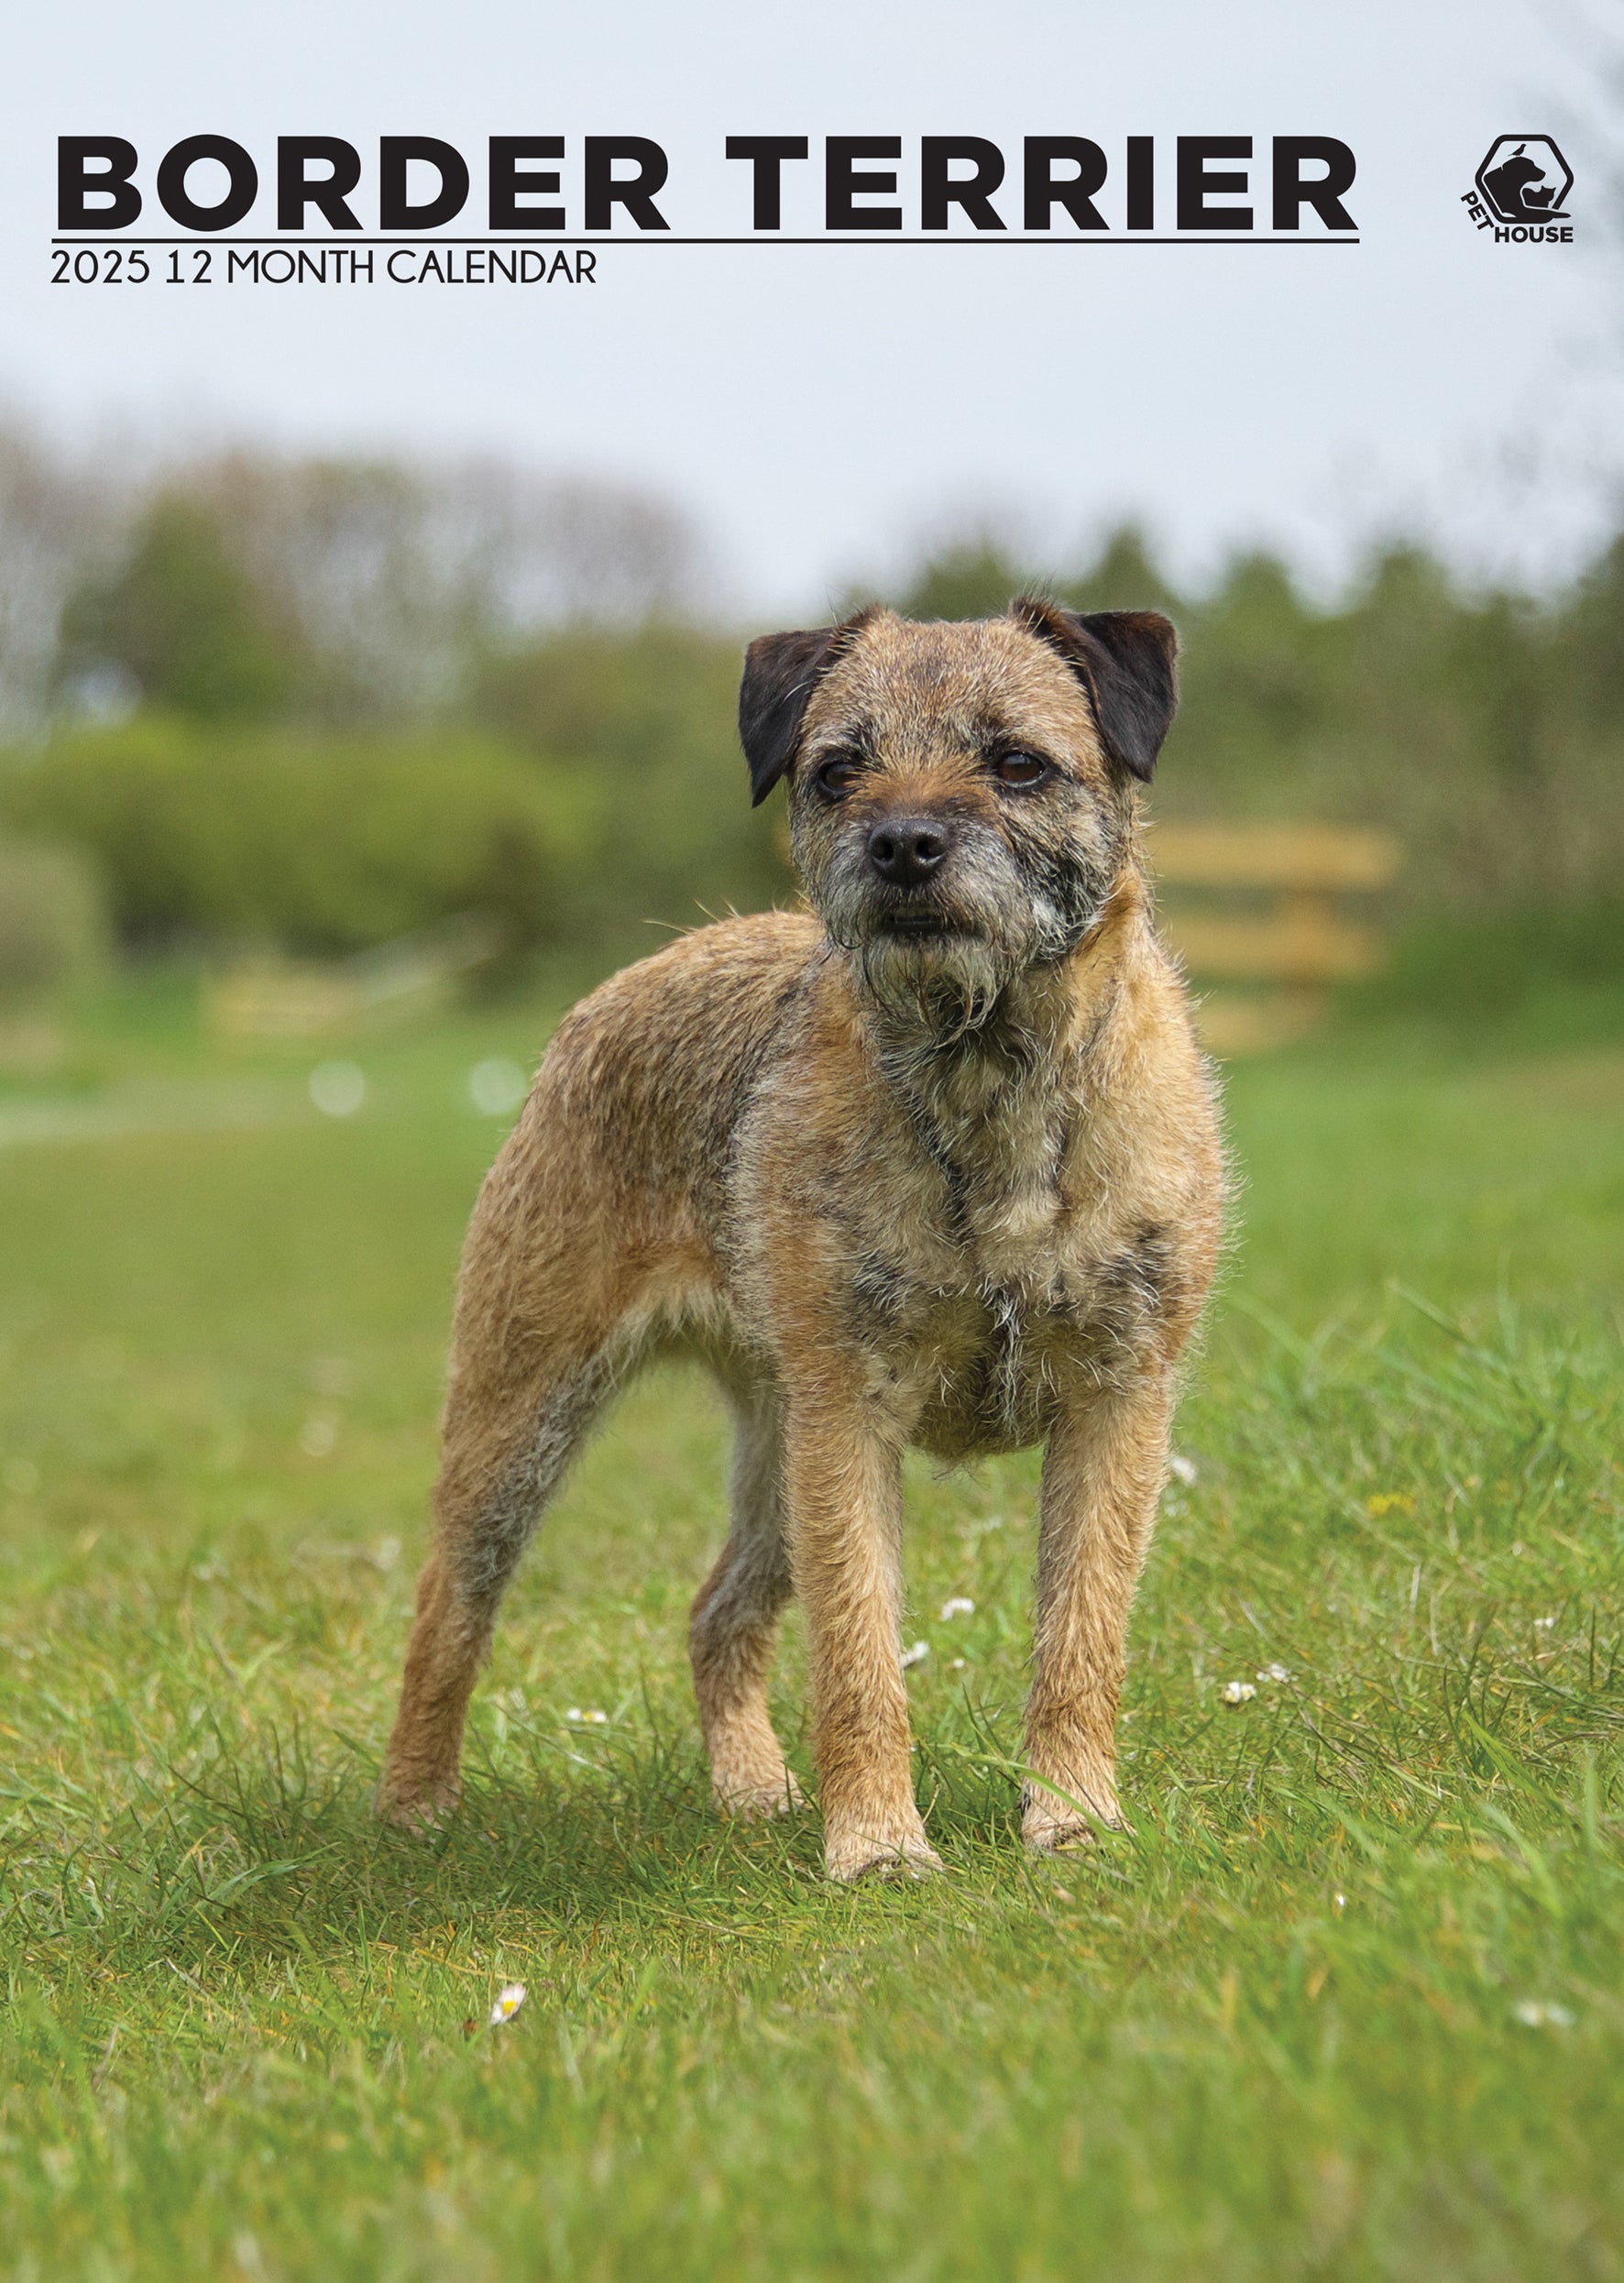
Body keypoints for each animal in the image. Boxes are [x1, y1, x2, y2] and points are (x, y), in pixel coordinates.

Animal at [377, 598, 1223, 1881]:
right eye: (836, 773)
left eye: (1017, 763)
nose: (904, 844)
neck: (982, 1079)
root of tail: (634, 974)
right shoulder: (850, 1423)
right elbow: (859, 1656)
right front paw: (876, 1848)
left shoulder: (1117, 1402)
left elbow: (1080, 1640)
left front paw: (1071, 1820)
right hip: (528, 1410)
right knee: (447, 1609)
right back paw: (413, 1810)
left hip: (772, 1446)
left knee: (715, 1611)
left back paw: (748, 1787)